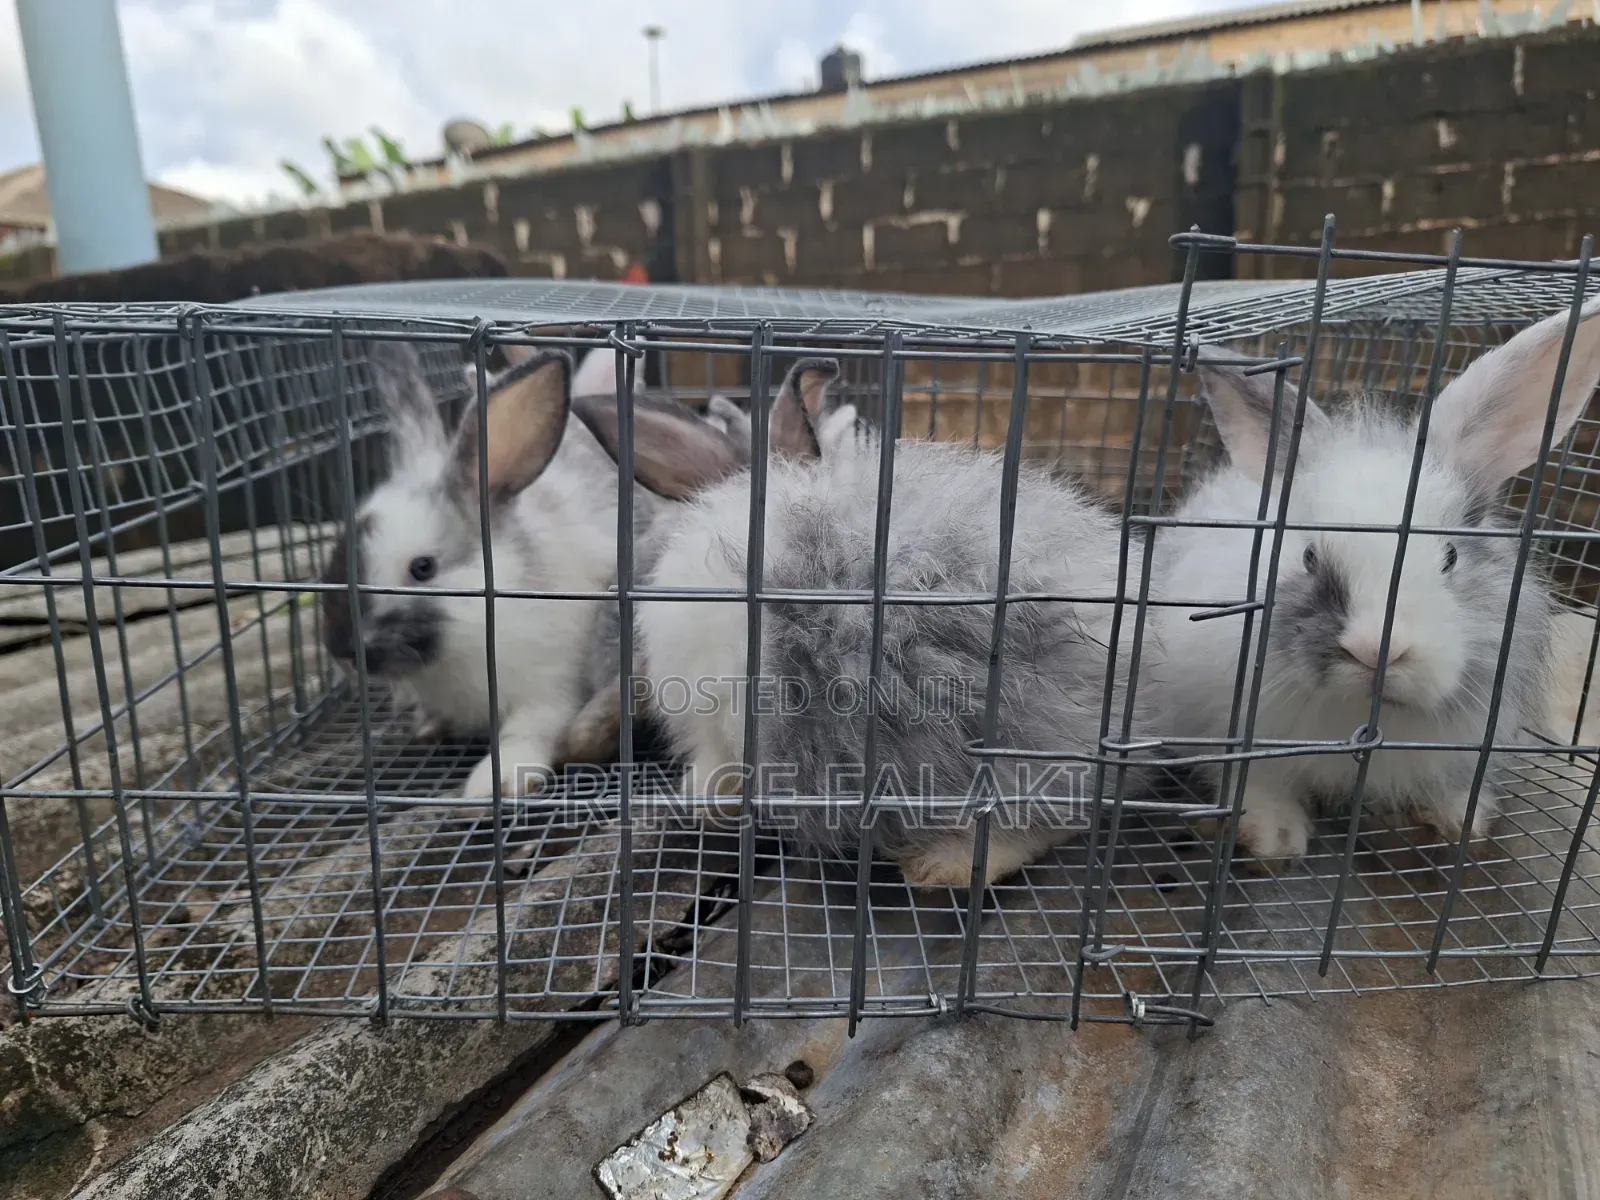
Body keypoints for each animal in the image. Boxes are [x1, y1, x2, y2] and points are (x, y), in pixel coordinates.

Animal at [321, 340, 664, 799]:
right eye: (338, 551)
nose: (342, 652)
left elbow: (527, 731)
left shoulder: (552, 688)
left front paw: (495, 783)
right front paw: (430, 728)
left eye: (423, 568)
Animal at [1149, 295, 1600, 863]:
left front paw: (1460, 822)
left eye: (1450, 556)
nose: (1375, 650)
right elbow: (1258, 782)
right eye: (1309, 556)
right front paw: (1275, 840)